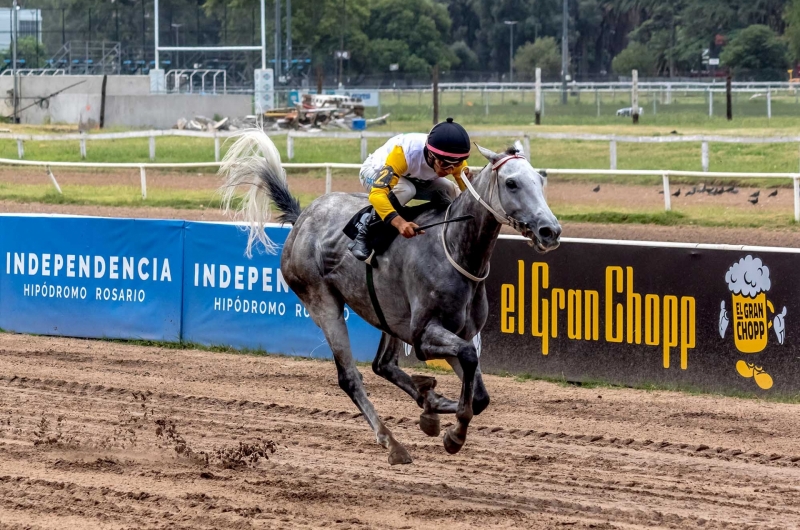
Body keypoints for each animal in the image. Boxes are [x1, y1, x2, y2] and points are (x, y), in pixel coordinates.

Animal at [216, 130, 560, 464]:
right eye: (511, 183)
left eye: (539, 180)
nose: (550, 231)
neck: (455, 249)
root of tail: (303, 218)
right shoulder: (424, 336)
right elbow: (468, 366)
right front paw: (454, 435)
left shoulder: (457, 332)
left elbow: (479, 395)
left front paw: (433, 409)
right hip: (323, 303)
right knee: (350, 377)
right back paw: (392, 442)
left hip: (388, 316)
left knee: (382, 365)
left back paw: (427, 400)